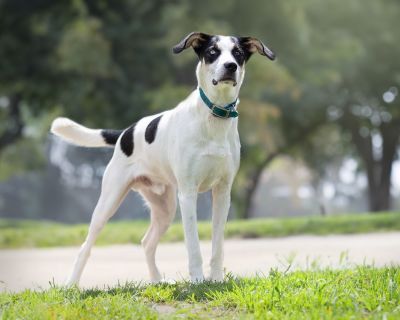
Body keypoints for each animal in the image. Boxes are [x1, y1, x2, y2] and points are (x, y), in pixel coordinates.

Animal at [50, 31, 276, 284]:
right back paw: (71, 284)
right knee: (85, 246)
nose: (230, 66)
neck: (214, 116)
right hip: (108, 202)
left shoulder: (223, 192)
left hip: (164, 208)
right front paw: (198, 281)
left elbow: (217, 246)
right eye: (212, 52)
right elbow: (193, 246)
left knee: (147, 242)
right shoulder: (187, 194)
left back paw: (157, 280)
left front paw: (216, 279)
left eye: (238, 53)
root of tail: (125, 133)